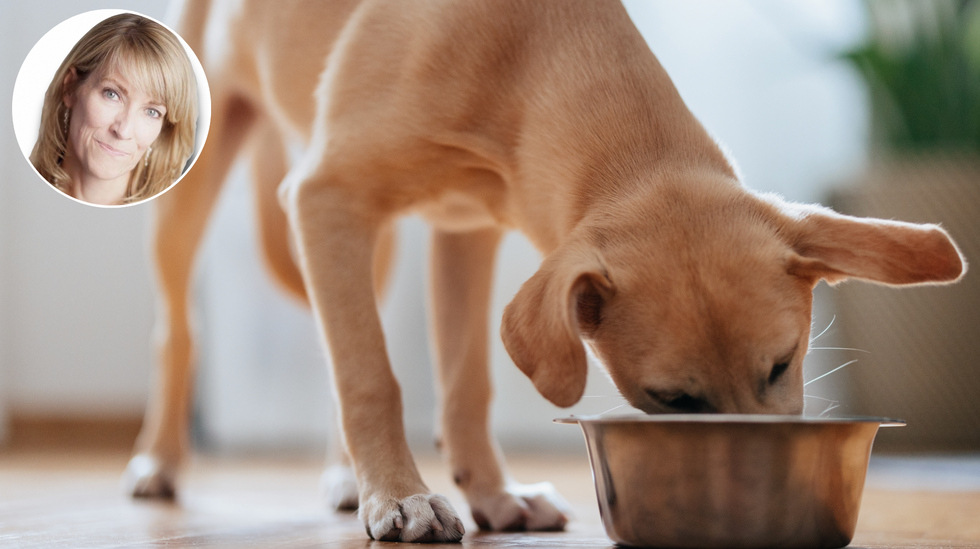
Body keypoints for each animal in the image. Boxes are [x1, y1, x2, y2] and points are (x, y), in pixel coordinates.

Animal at [122, 0, 964, 540]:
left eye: (783, 365)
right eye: (674, 399)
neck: (528, 47)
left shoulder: (462, 232)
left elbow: (464, 385)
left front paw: (491, 495)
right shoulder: (327, 195)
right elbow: (371, 375)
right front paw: (401, 497)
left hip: (369, 243)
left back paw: (341, 476)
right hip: (200, 192)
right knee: (179, 331)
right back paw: (160, 461)